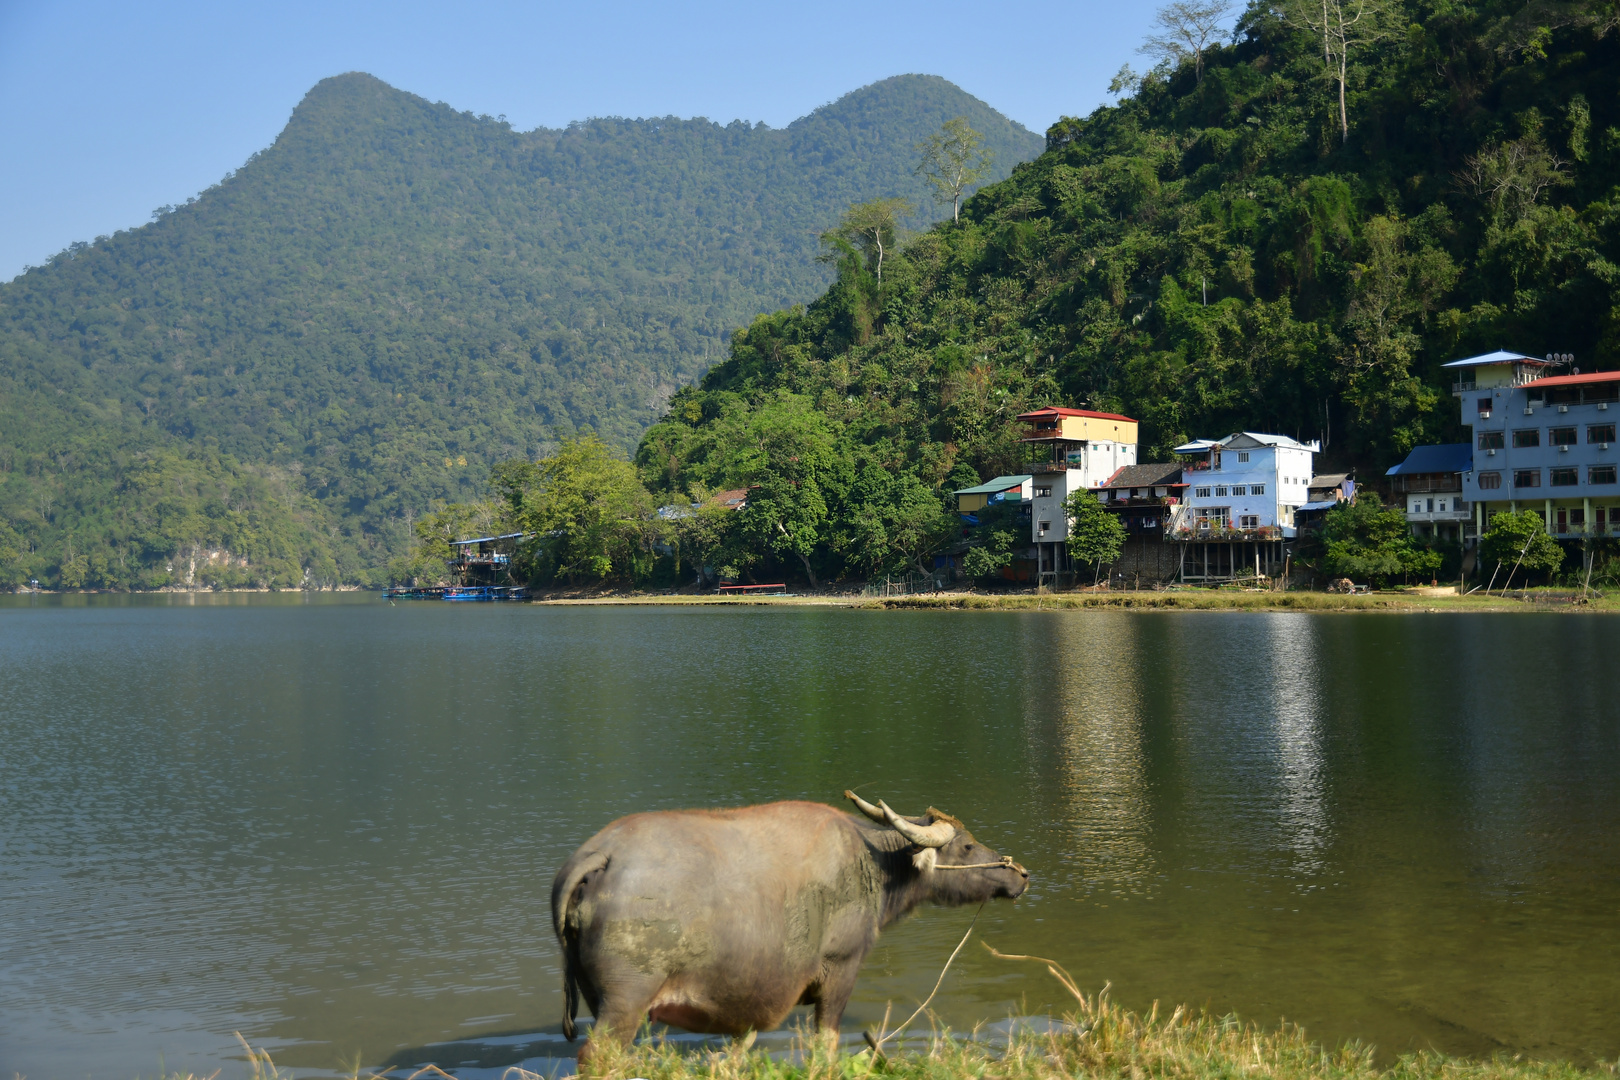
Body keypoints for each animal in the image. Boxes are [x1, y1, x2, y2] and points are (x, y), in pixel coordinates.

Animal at [547, 790, 1023, 1062]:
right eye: (967, 846)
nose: (1019, 875)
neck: (872, 864)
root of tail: (600, 855)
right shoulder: (841, 969)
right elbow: (825, 1044)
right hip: (624, 1002)